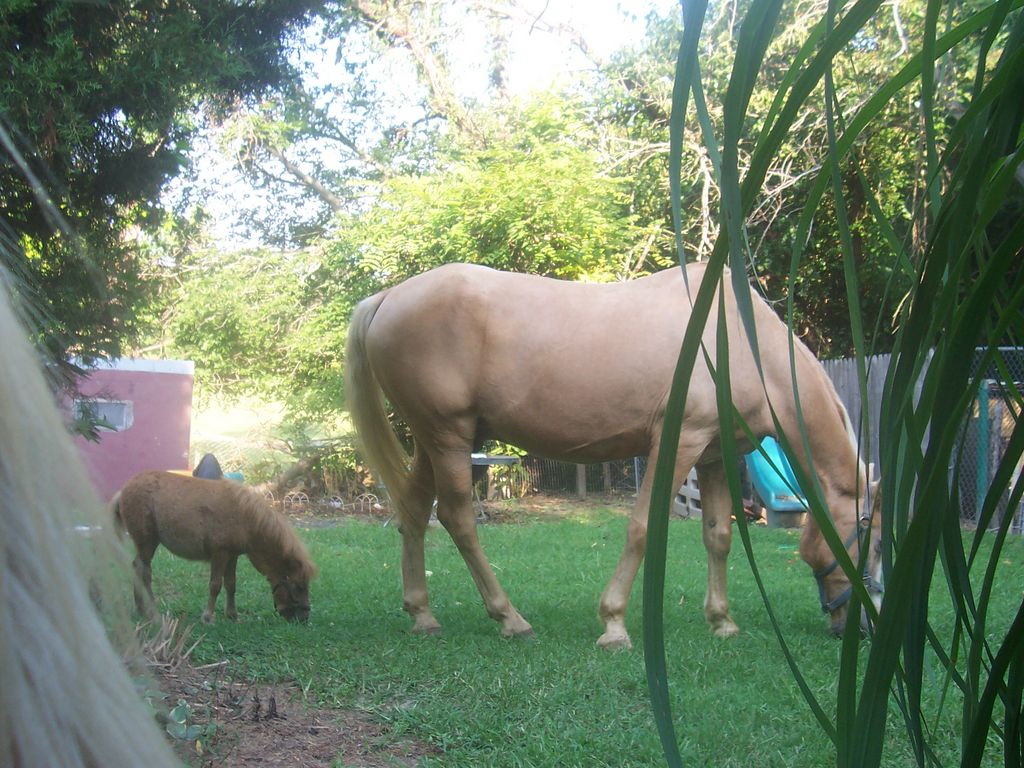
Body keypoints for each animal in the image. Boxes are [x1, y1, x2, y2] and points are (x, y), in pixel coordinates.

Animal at [112, 468, 315, 626]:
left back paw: (141, 609)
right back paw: (152, 612)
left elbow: (231, 584)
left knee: (137, 568)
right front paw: (208, 617)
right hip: (147, 543)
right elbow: (215, 585)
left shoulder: (233, 556)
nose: (304, 618)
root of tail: (123, 490)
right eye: (299, 587)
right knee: (144, 572)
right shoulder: (220, 554)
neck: (245, 517)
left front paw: (232, 615)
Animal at [348, 264, 884, 651]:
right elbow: (644, 528)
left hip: (431, 441)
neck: (739, 341)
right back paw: (510, 618)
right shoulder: (679, 442)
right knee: (458, 520)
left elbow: (718, 536)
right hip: (449, 438)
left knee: (414, 513)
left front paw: (722, 621)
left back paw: (422, 614)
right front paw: (614, 625)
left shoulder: (713, 455)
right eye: (874, 541)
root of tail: (387, 297)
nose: (863, 629)